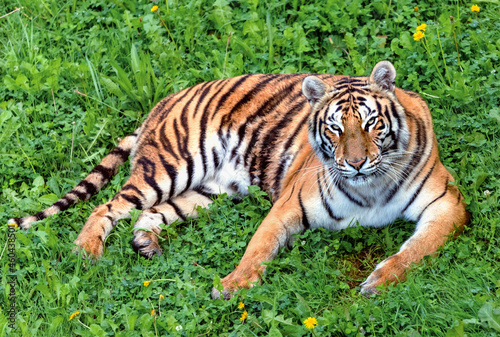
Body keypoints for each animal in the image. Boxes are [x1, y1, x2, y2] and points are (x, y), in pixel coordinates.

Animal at [7, 60, 468, 296]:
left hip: (208, 191)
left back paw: (147, 244)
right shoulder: (289, 203)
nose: (355, 163)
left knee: (149, 213)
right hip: (171, 166)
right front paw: (231, 287)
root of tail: (164, 100)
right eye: (335, 128)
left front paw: (379, 281)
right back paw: (86, 252)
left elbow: (418, 249)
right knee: (108, 205)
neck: (368, 187)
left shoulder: (447, 203)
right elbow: (257, 248)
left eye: (372, 123)